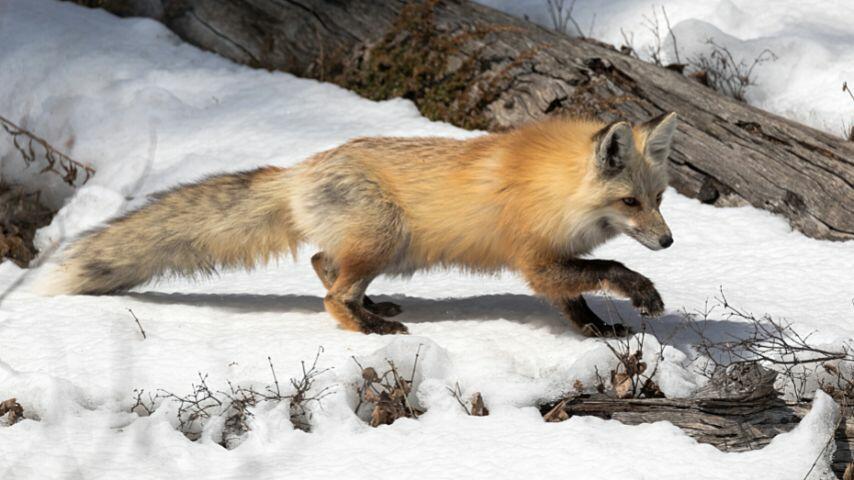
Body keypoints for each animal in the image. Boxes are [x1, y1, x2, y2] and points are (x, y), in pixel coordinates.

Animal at [43, 112, 680, 338]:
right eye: (629, 202)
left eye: (660, 198)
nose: (670, 241)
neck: (557, 191)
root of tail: (299, 169)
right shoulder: (538, 261)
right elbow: (609, 267)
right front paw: (642, 293)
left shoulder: (553, 265)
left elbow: (578, 302)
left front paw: (599, 331)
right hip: (384, 240)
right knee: (331, 295)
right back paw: (370, 328)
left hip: (384, 249)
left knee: (321, 265)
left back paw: (373, 308)